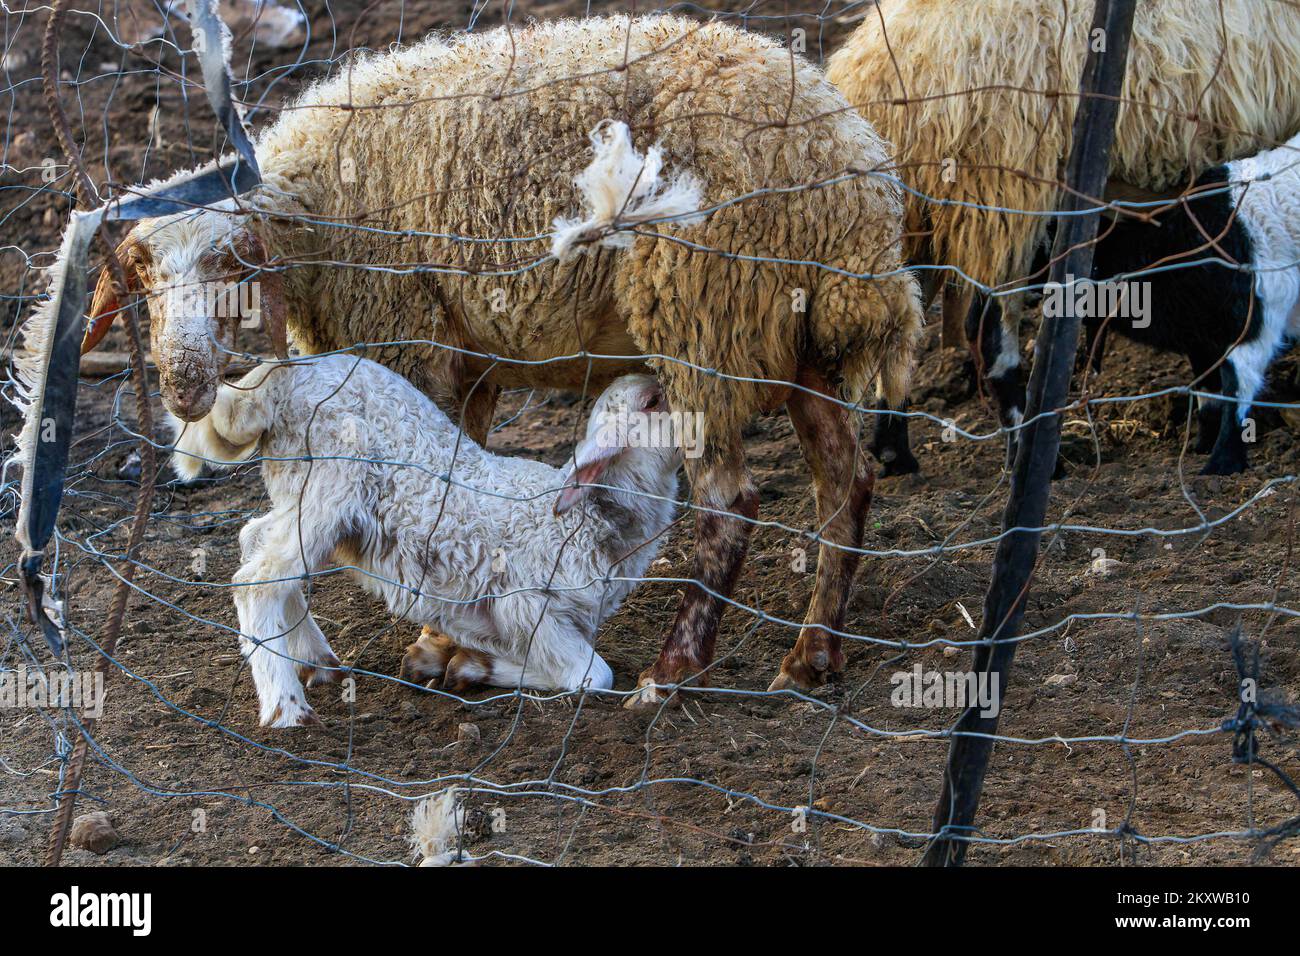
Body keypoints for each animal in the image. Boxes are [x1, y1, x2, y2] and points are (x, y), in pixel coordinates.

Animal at [169, 356, 681, 723]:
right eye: (655, 400)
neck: (591, 520)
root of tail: (283, 380)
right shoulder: (527, 604)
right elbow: (591, 675)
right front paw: (475, 667)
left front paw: (463, 663)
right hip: (330, 485)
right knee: (257, 581)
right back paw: (285, 707)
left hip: (302, 496)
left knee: (255, 542)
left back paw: (317, 661)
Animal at [826, 0, 1300, 470]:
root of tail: (890, 67)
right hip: (1003, 199)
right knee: (990, 334)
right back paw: (1029, 448)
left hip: (912, 214)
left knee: (902, 321)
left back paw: (894, 449)